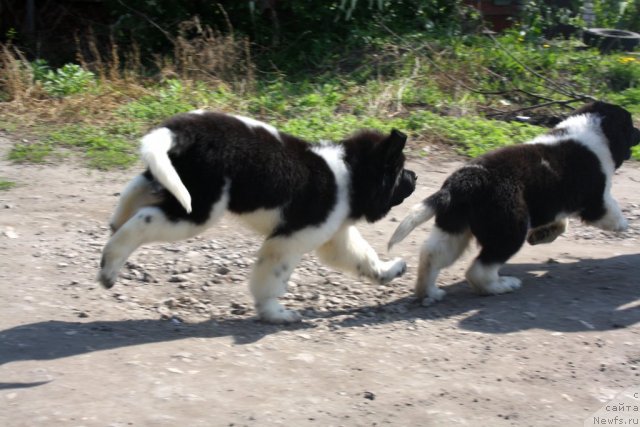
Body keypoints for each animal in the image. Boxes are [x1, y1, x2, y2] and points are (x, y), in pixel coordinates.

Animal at [97, 112, 418, 322]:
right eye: (401, 171)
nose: (416, 176)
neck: (351, 175)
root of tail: (181, 131)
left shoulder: (333, 235)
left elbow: (363, 257)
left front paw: (388, 271)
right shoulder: (289, 239)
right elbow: (271, 280)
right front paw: (274, 313)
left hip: (172, 179)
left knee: (135, 191)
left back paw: (115, 225)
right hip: (200, 208)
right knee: (143, 220)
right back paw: (109, 266)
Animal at [388, 102, 640, 306]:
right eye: (629, 126)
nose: (639, 131)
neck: (595, 128)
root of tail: (465, 181)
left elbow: (561, 222)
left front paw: (543, 234)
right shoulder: (596, 198)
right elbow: (610, 208)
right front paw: (623, 225)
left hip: (455, 226)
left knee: (432, 254)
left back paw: (428, 292)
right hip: (510, 226)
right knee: (480, 270)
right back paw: (501, 286)